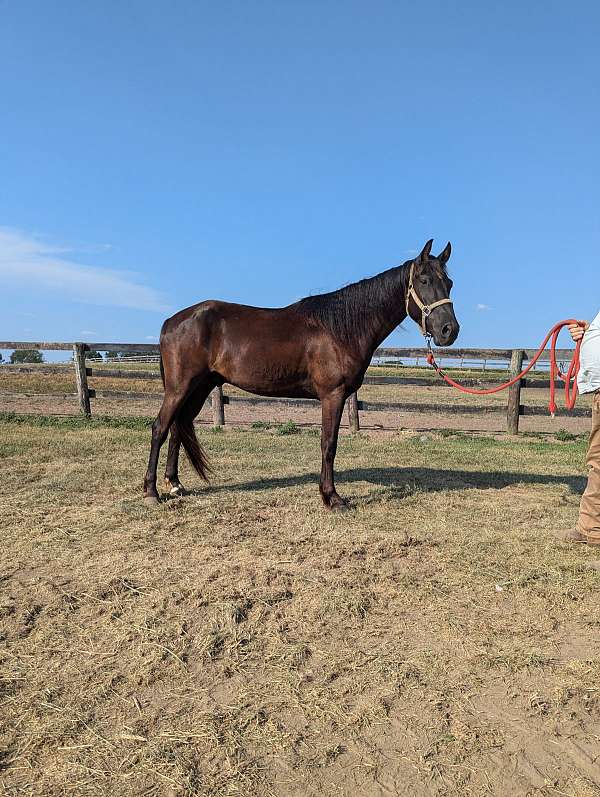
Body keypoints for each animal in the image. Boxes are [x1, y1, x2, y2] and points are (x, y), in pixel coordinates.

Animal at [144, 239, 460, 506]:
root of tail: (171, 321)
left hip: (200, 386)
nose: (449, 331)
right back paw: (151, 492)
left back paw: (175, 484)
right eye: (424, 280)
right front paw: (332, 497)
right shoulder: (333, 395)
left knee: (178, 426)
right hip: (180, 387)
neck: (341, 329)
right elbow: (329, 444)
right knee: (160, 427)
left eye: (450, 283)